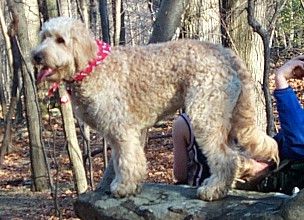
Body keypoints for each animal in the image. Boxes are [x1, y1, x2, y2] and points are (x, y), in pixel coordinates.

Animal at [32, 16, 280, 200]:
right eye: (44, 37)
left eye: (60, 40)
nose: (36, 56)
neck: (91, 66)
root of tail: (226, 53)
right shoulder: (120, 133)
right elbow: (124, 159)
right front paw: (127, 184)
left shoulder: (122, 130)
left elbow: (127, 160)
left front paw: (124, 187)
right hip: (222, 118)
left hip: (205, 115)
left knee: (227, 158)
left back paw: (212, 190)